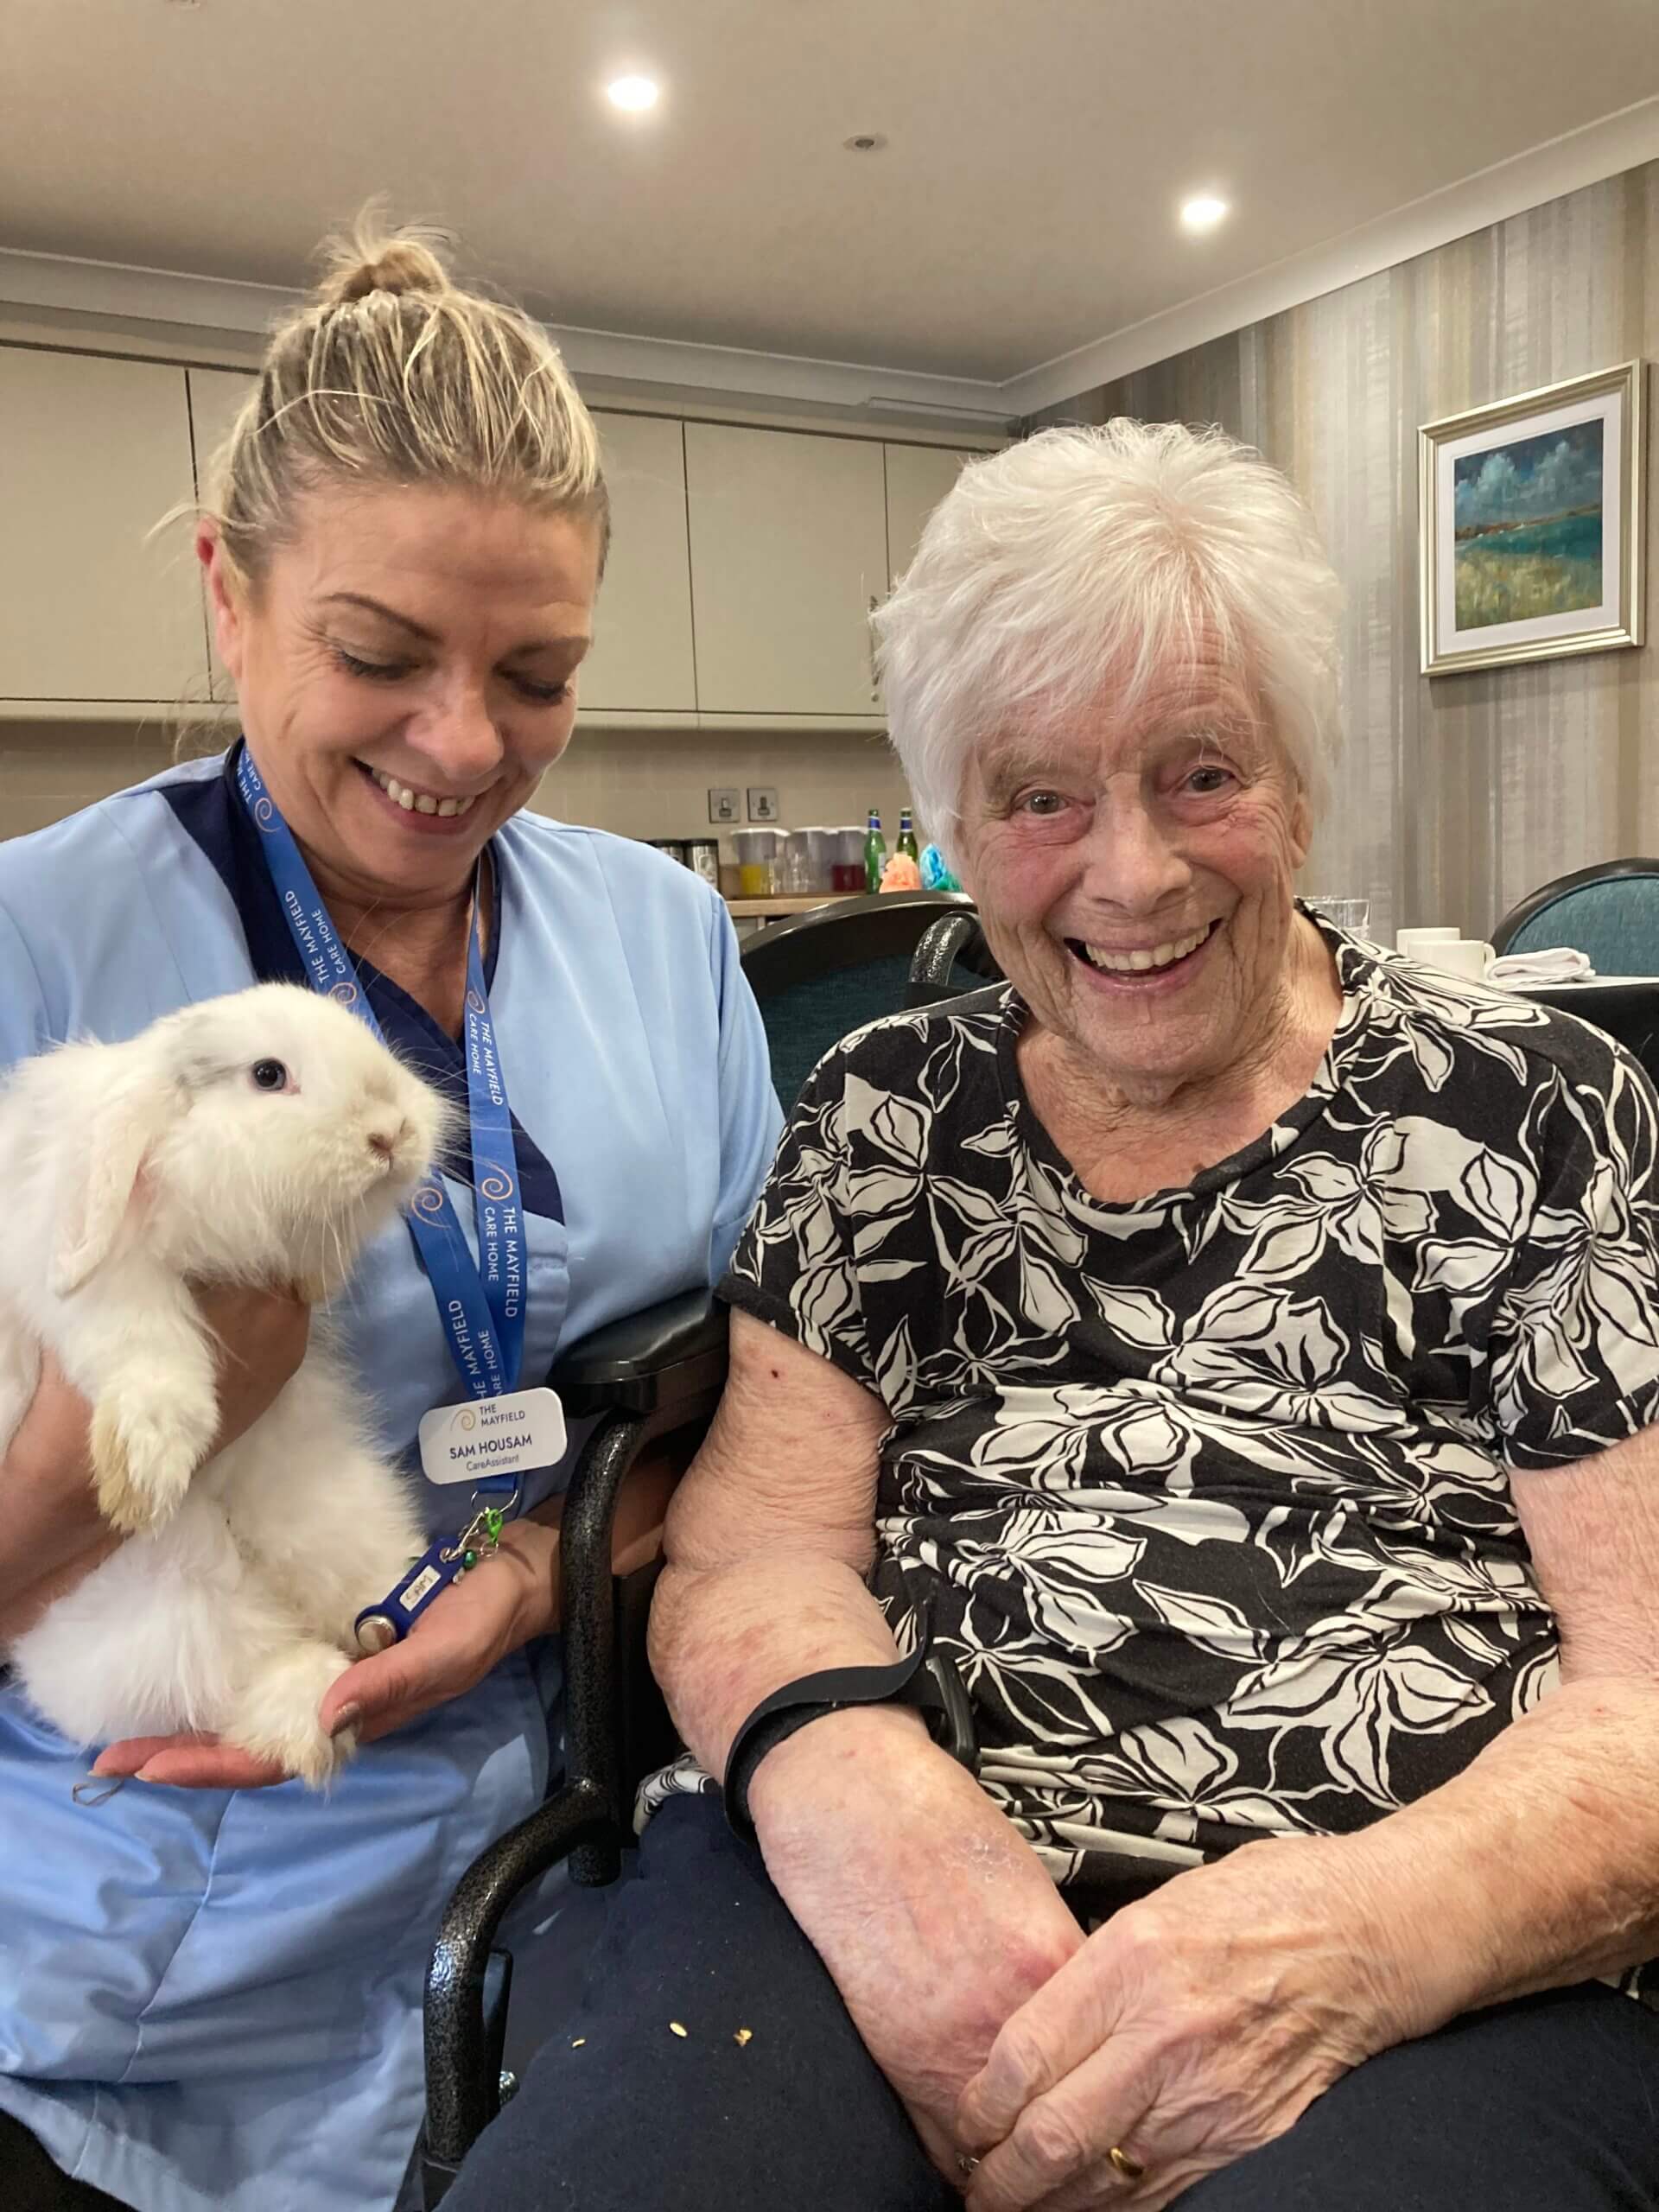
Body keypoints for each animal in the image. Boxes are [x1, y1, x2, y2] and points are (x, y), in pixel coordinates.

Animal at [0, 986, 451, 1778]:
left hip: (335, 1512)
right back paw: (318, 1705)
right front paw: (145, 1475)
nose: (392, 1131)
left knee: (351, 1592)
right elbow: (138, 1332)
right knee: (243, 1673)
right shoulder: (83, 1273)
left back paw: (386, 1615)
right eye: (268, 1075)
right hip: (179, 1616)